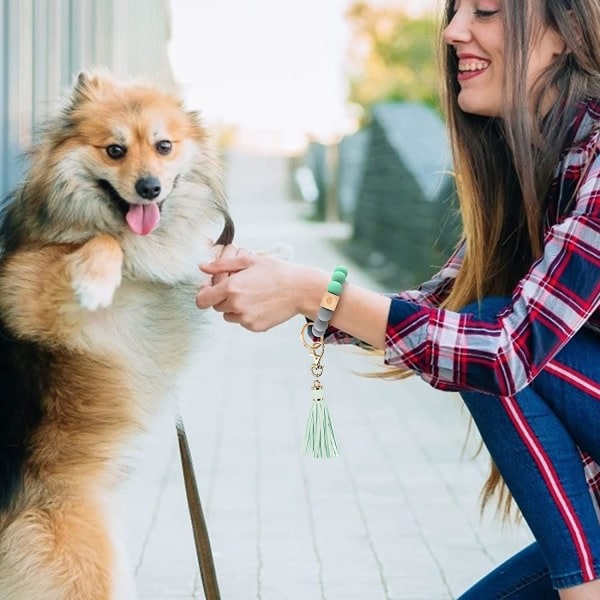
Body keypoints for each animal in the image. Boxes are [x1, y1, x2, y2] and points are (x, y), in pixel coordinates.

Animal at [0, 71, 233, 600]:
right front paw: (94, 279)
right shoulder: (27, 294)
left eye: (164, 146)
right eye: (114, 150)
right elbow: (105, 243)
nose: (149, 188)